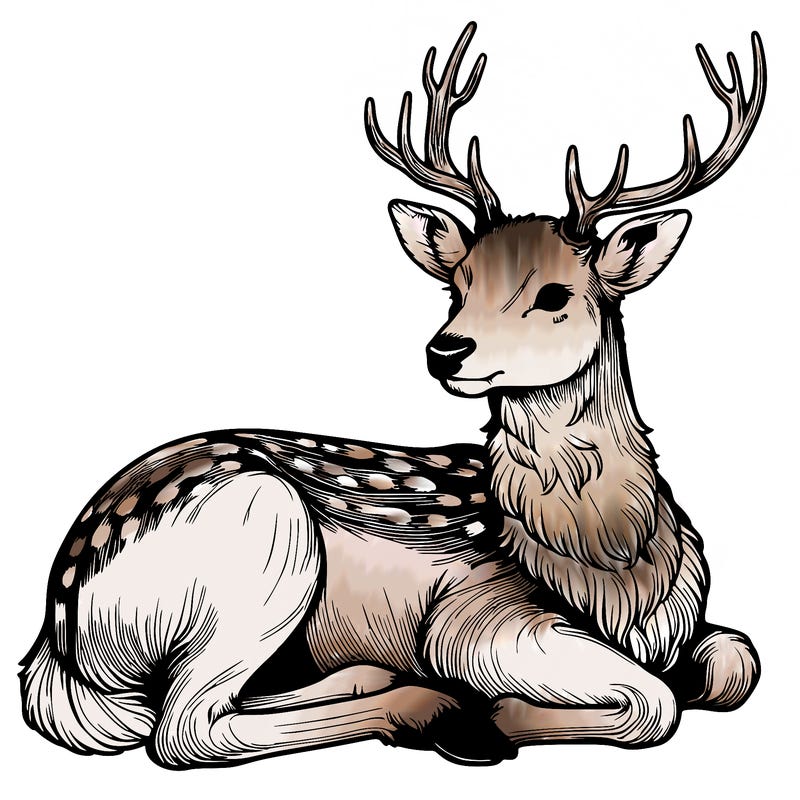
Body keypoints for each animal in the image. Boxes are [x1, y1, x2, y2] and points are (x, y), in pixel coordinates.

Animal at [20, 23, 765, 769]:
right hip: (268, 541)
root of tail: (55, 637)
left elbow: (737, 660)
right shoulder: (478, 616)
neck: (615, 568)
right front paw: (494, 715)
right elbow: (654, 702)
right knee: (183, 727)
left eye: (555, 294)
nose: (445, 349)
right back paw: (434, 711)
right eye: (457, 285)